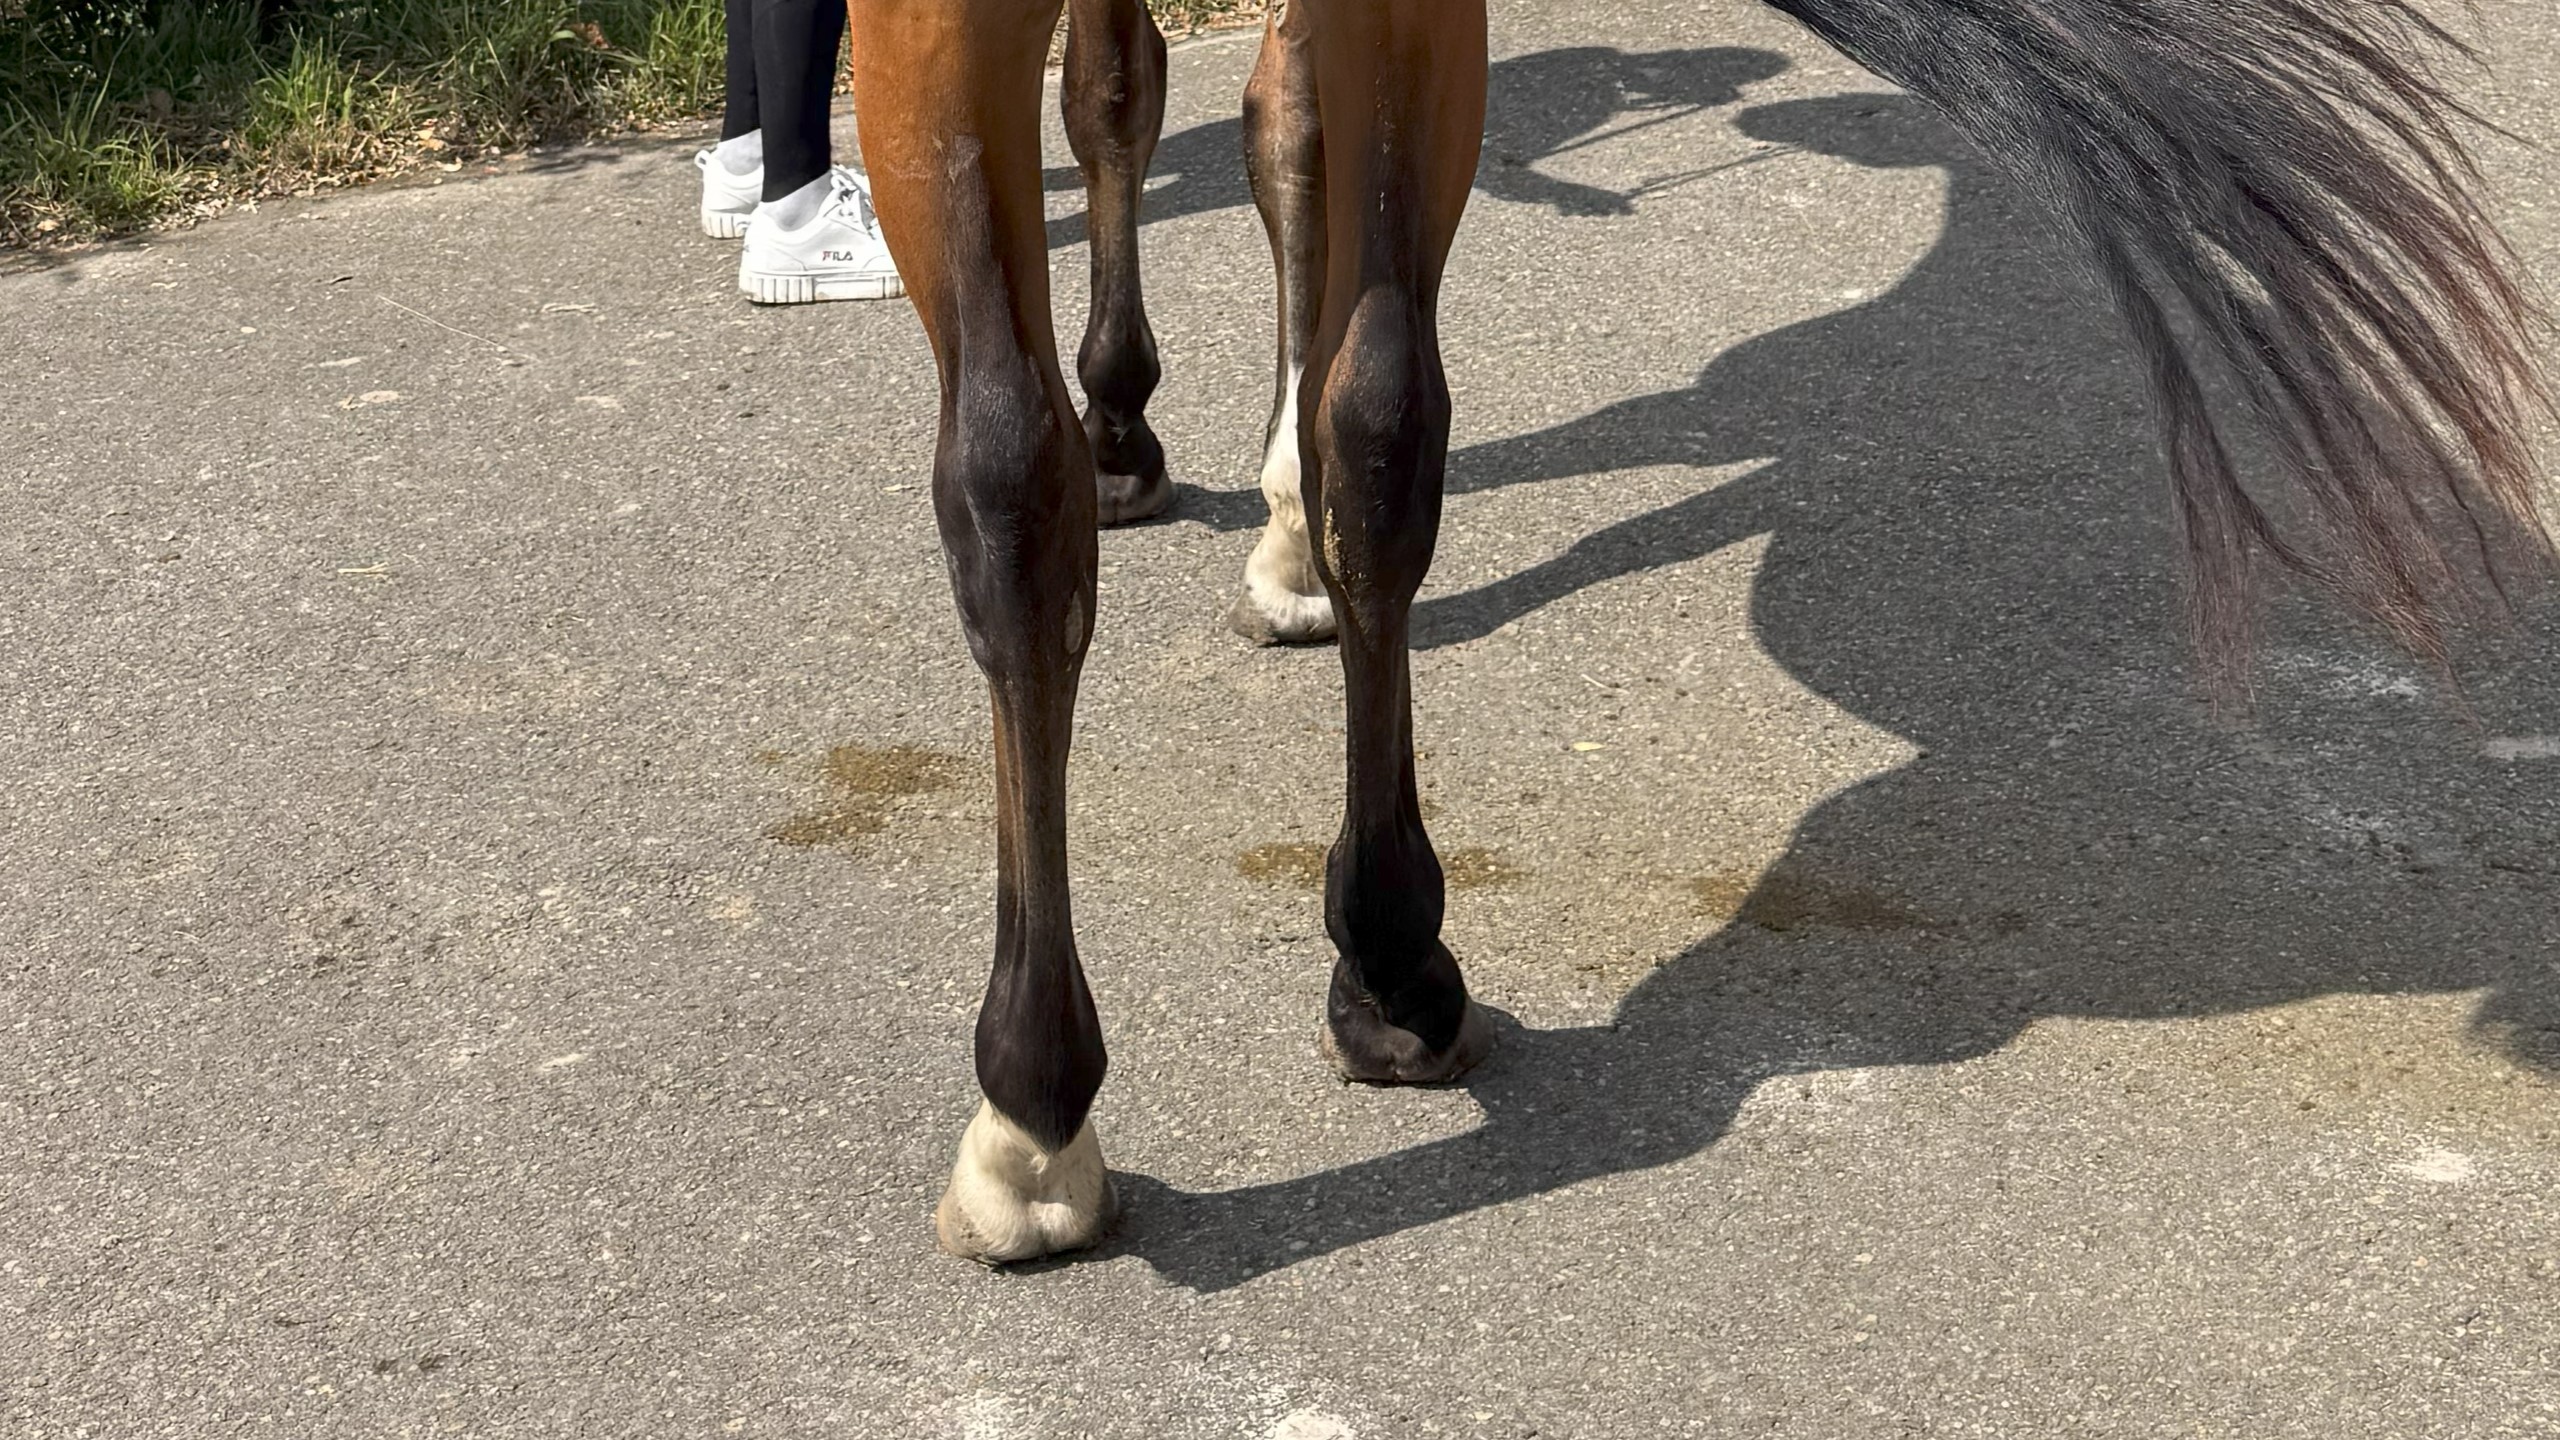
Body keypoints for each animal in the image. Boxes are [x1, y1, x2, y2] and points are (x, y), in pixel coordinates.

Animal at [838, 0, 2553, 1263]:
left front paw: (1146, 429)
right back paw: (1383, 953)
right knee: (1348, 401)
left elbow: (1138, 112)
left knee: (1031, 474)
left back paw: (1042, 1114)